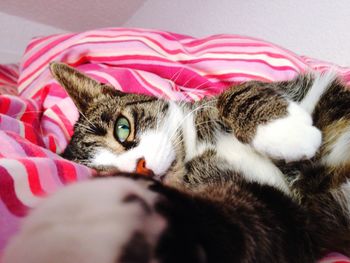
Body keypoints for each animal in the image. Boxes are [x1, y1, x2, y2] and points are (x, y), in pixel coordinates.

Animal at [3, 63, 350, 263]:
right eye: (108, 173)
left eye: (122, 128)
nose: (141, 166)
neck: (195, 148)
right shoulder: (289, 218)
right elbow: (236, 224)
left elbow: (236, 91)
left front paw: (286, 132)